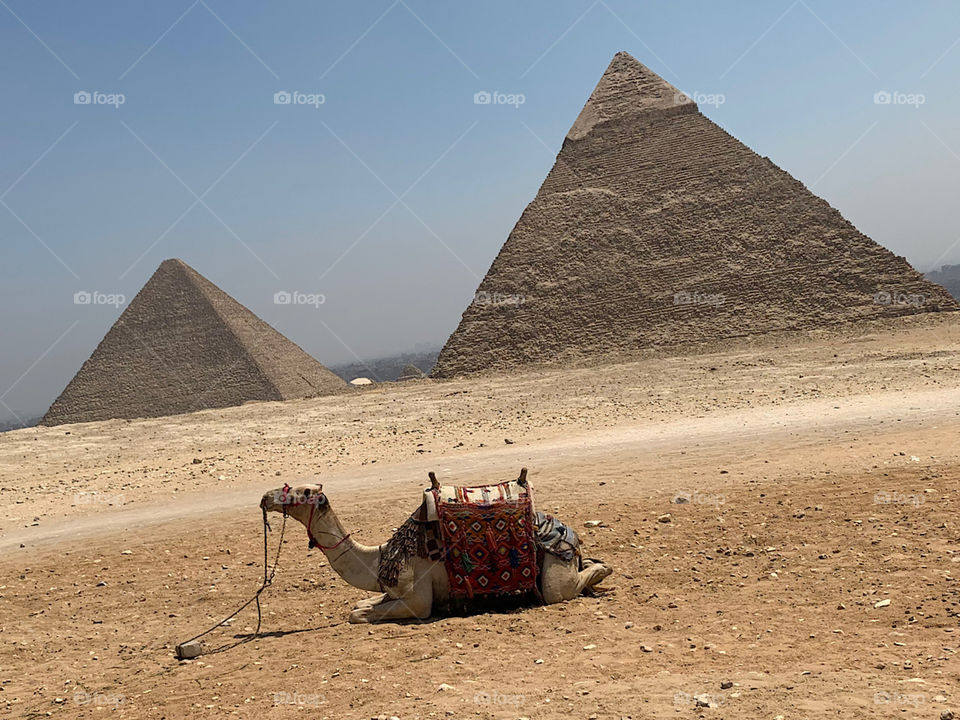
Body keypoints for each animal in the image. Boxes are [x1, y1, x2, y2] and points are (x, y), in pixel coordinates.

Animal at [260, 480, 612, 623]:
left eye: (303, 491)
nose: (265, 497)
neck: (381, 557)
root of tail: (571, 534)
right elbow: (361, 604)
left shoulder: (417, 600)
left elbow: (357, 614)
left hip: (554, 564)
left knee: (558, 590)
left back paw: (603, 571)